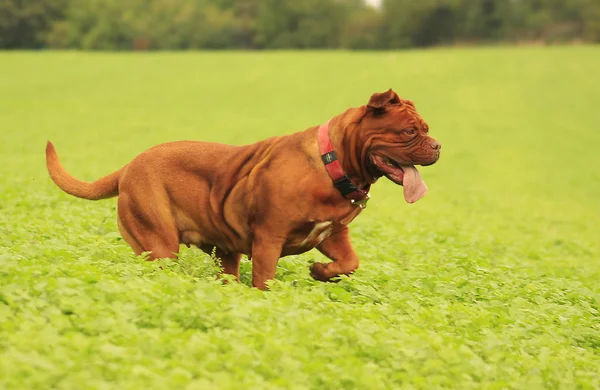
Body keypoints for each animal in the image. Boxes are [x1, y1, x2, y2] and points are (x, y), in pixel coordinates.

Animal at [45, 89, 440, 290]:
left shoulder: (332, 234)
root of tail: (127, 166)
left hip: (223, 252)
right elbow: (266, 281)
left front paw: (320, 272)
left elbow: (350, 263)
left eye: (426, 128)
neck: (334, 162)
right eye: (409, 132)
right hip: (159, 244)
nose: (438, 146)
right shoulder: (268, 239)